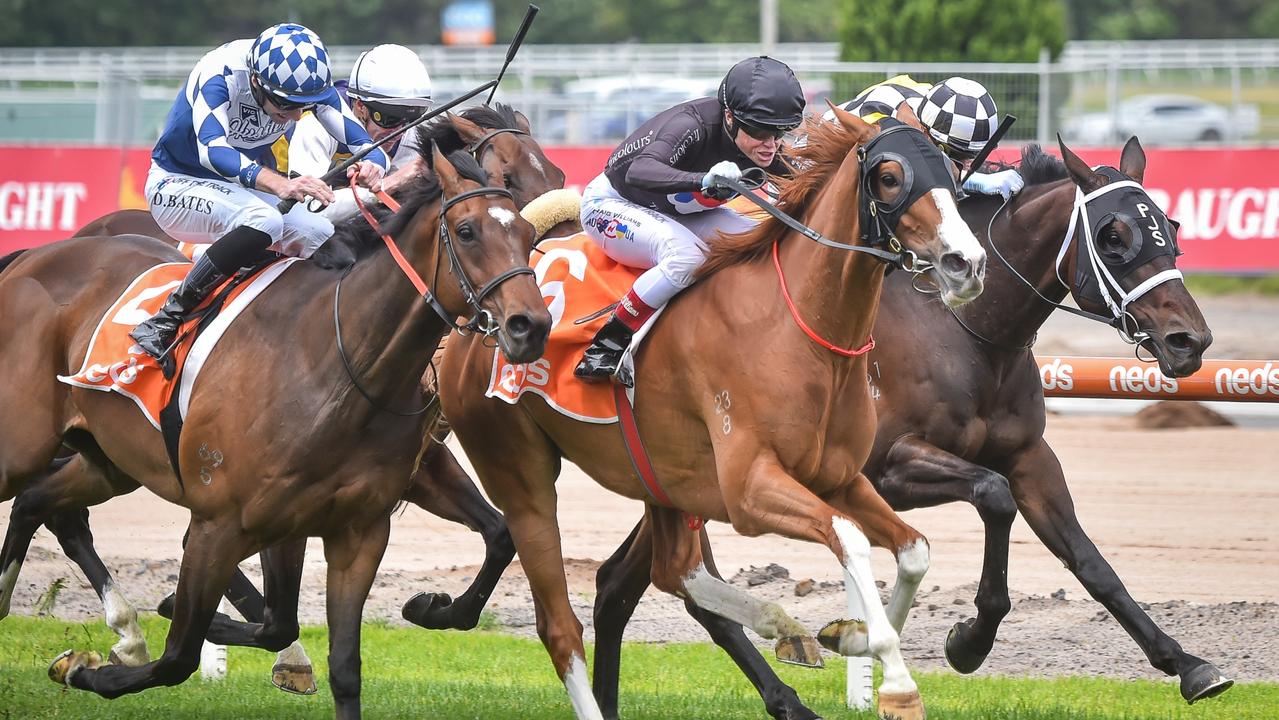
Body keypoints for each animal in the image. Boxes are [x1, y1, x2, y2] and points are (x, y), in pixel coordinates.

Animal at [434, 106, 982, 720]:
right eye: (890, 177)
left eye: (952, 176)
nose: (966, 263)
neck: (797, 325)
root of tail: (479, 321)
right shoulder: (749, 489)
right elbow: (851, 537)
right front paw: (896, 684)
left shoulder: (839, 478)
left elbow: (914, 550)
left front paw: (853, 635)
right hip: (519, 471)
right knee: (560, 625)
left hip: (662, 479)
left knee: (673, 569)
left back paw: (784, 626)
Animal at [583, 138, 1227, 716]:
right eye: (1114, 236)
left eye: (1170, 226)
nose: (1188, 341)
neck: (960, 330)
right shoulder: (888, 466)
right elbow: (992, 495)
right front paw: (968, 641)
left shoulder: (1029, 455)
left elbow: (1090, 560)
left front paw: (1189, 665)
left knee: (619, 583)